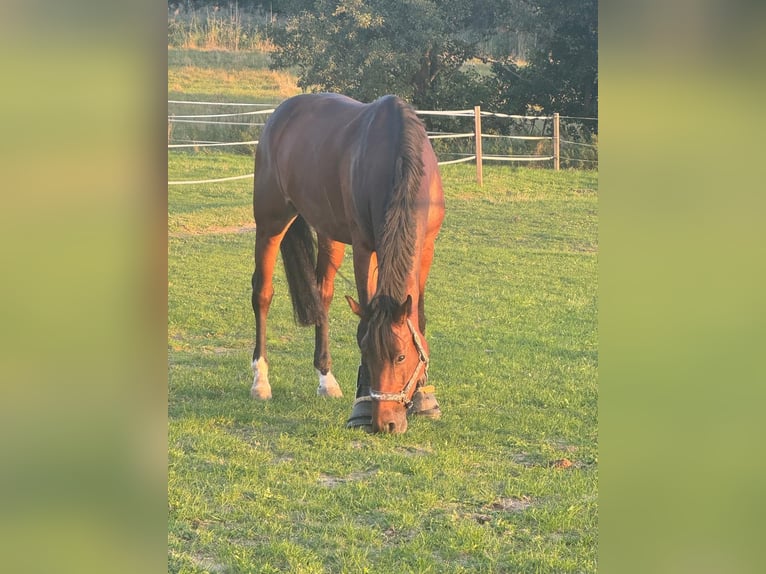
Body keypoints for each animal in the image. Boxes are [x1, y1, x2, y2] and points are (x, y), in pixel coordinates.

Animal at [250, 93, 445, 434]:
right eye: (366, 353)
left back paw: (326, 380)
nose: (385, 423)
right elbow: (366, 315)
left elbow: (418, 318)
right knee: (262, 293)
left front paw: (424, 397)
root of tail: (281, 113)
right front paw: (362, 405)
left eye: (400, 357)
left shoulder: (426, 247)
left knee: (322, 295)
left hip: (330, 234)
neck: (399, 157)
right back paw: (260, 381)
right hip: (270, 221)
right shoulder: (365, 248)